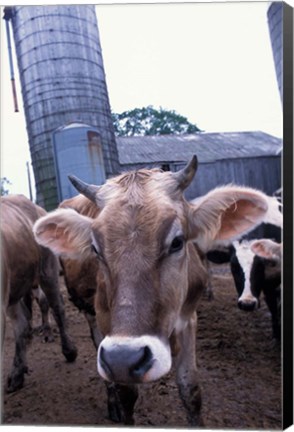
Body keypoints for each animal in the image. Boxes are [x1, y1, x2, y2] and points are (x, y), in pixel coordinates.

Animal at [33, 157, 276, 426]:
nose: (124, 358)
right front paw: (121, 405)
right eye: (95, 249)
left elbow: (190, 389)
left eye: (177, 242)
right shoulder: (108, 329)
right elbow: (127, 393)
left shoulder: (188, 318)